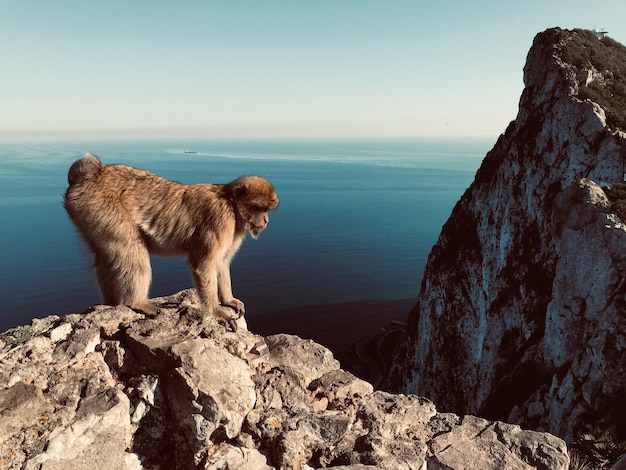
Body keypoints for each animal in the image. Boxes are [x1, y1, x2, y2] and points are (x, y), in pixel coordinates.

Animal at [64, 152, 278, 322]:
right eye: (261, 208)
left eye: (268, 210)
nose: (266, 220)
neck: (231, 206)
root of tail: (94, 172)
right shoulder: (219, 220)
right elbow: (203, 266)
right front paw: (216, 312)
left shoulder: (233, 233)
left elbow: (222, 263)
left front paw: (228, 300)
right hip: (100, 208)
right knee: (133, 252)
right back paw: (137, 303)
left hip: (89, 216)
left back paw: (111, 303)